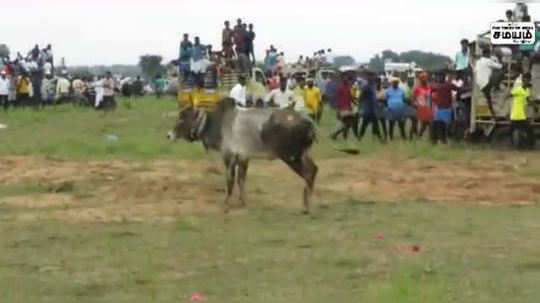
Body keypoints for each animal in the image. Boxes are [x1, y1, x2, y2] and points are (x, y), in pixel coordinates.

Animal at [168, 98, 316, 215]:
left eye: (183, 118)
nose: (169, 135)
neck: (217, 123)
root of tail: (309, 122)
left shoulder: (229, 157)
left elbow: (230, 181)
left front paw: (226, 204)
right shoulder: (243, 158)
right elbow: (241, 180)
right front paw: (243, 201)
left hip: (291, 156)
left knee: (308, 174)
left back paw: (307, 207)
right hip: (302, 154)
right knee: (314, 170)